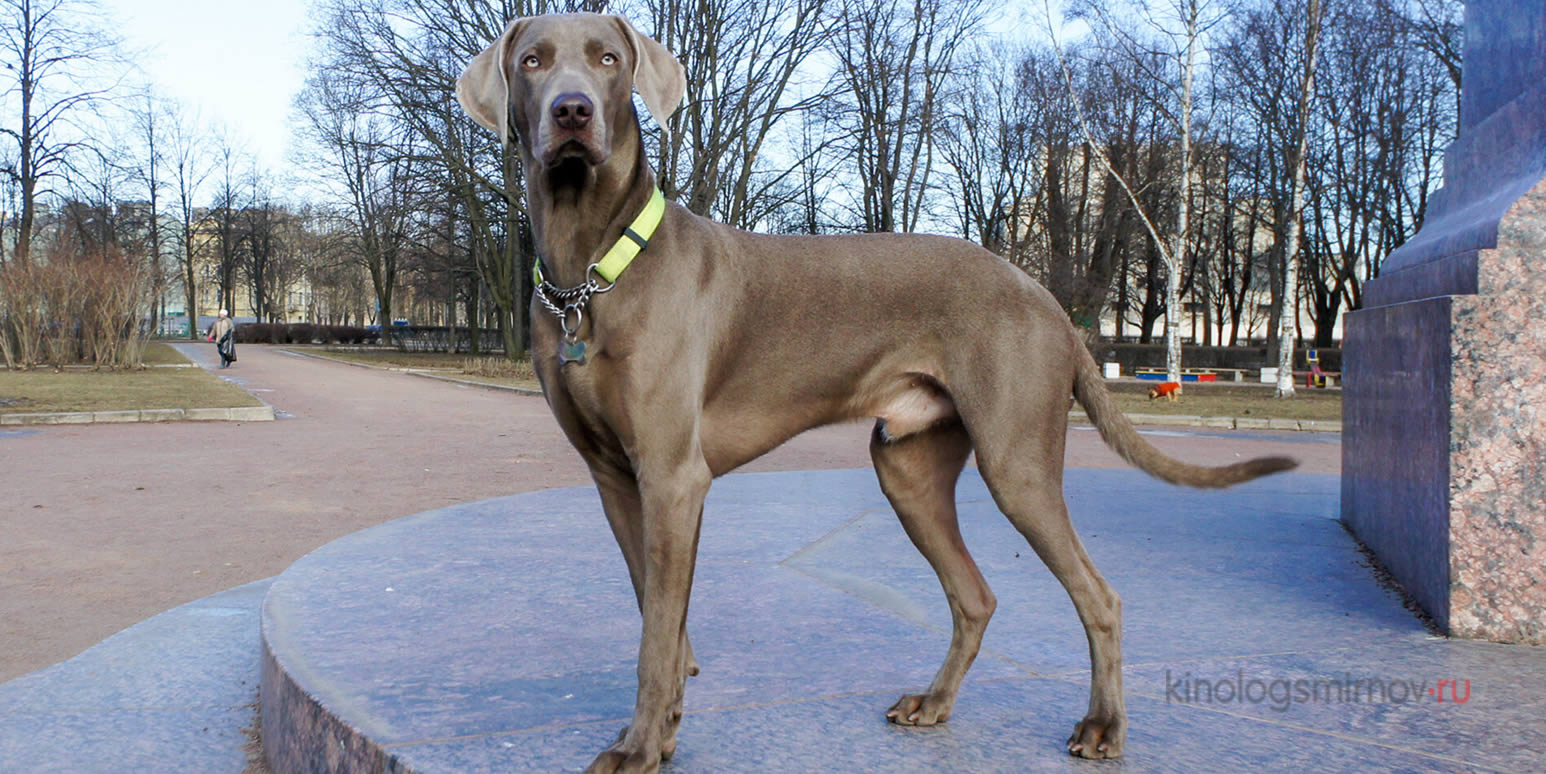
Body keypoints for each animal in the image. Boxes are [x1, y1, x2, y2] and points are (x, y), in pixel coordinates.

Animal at [454, 13, 1292, 772]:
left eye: (608, 58)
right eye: (532, 60)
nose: (571, 112)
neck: (590, 271)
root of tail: (1048, 301)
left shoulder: (672, 476)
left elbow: (657, 630)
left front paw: (637, 746)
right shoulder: (615, 477)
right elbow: (657, 613)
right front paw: (663, 730)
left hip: (1016, 462)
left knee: (1098, 595)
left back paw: (1103, 729)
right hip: (908, 468)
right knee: (975, 595)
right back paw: (934, 703)